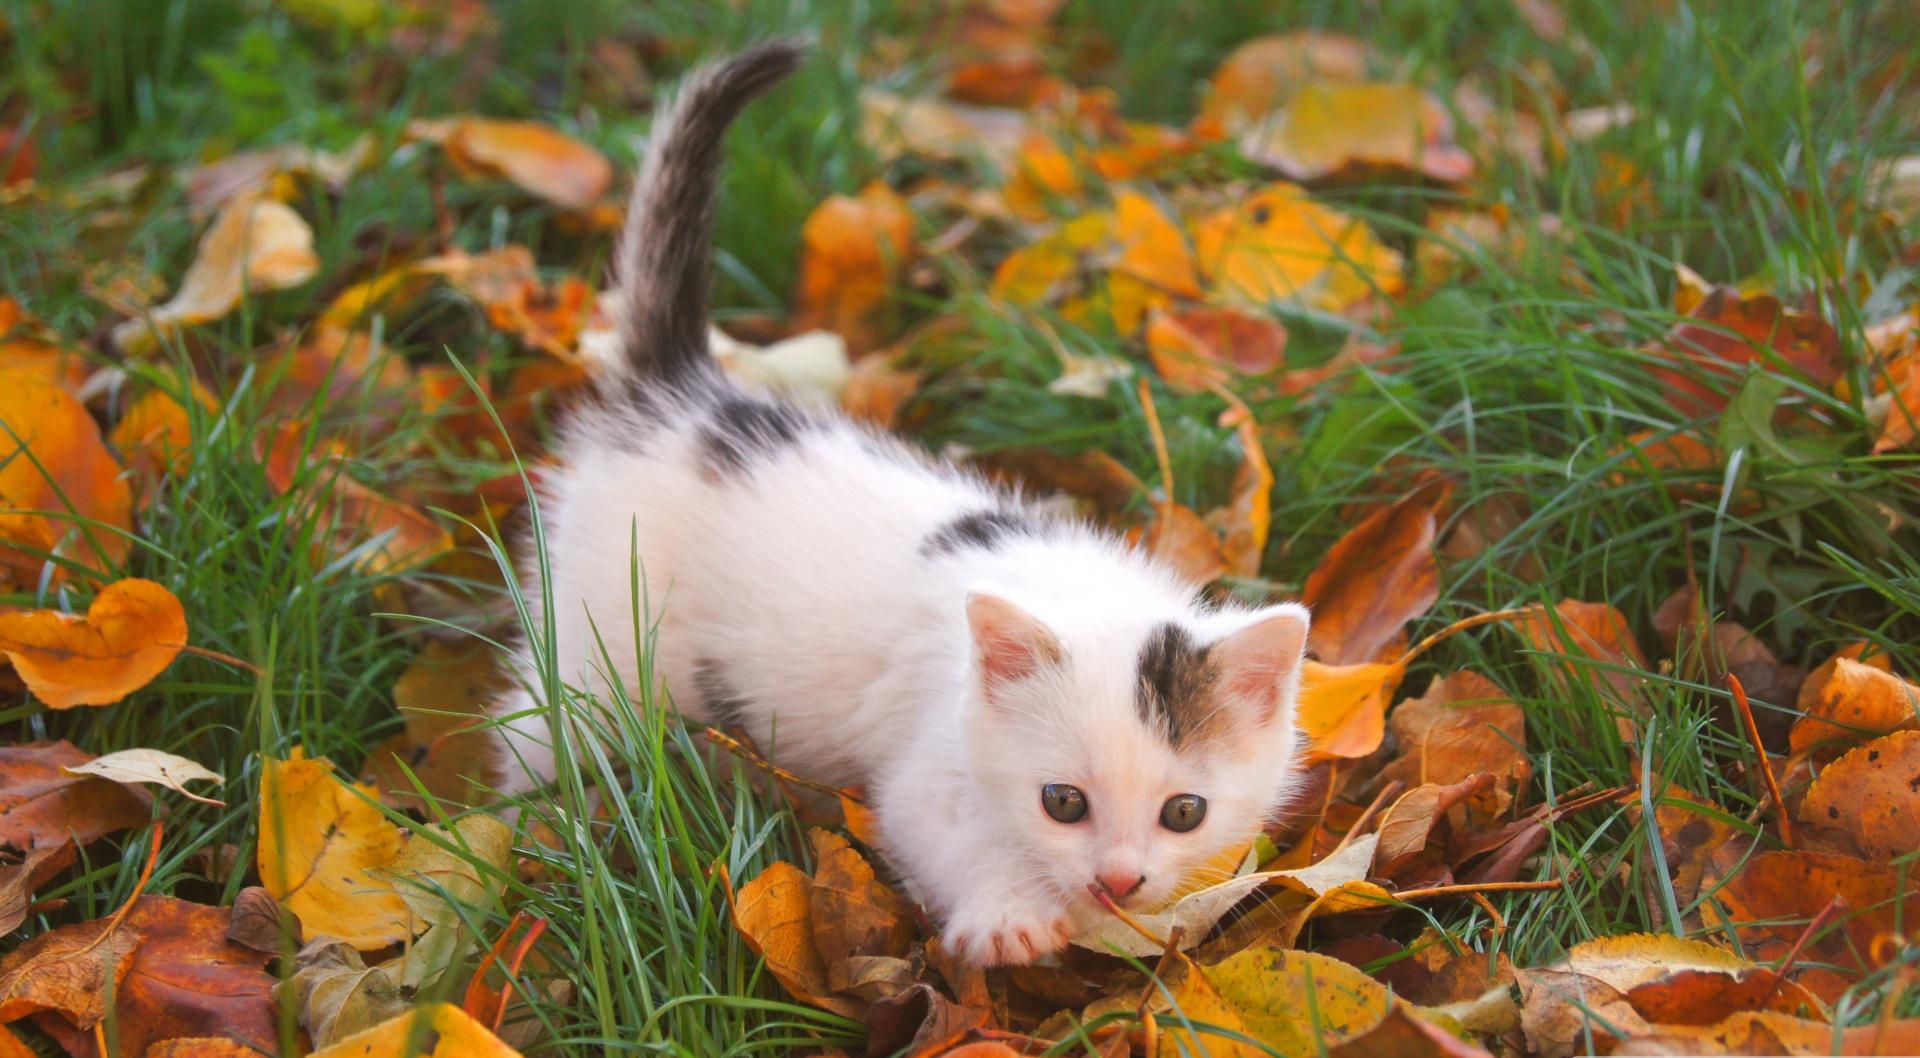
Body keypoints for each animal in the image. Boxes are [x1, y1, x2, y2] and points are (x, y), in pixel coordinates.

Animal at [487, 39, 1313, 967]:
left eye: (1184, 813)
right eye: (1063, 802)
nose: (1118, 879)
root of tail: (679, 394)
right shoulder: (925, 766)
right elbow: (941, 830)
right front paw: (1011, 917)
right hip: (604, 627)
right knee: (544, 717)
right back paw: (536, 824)